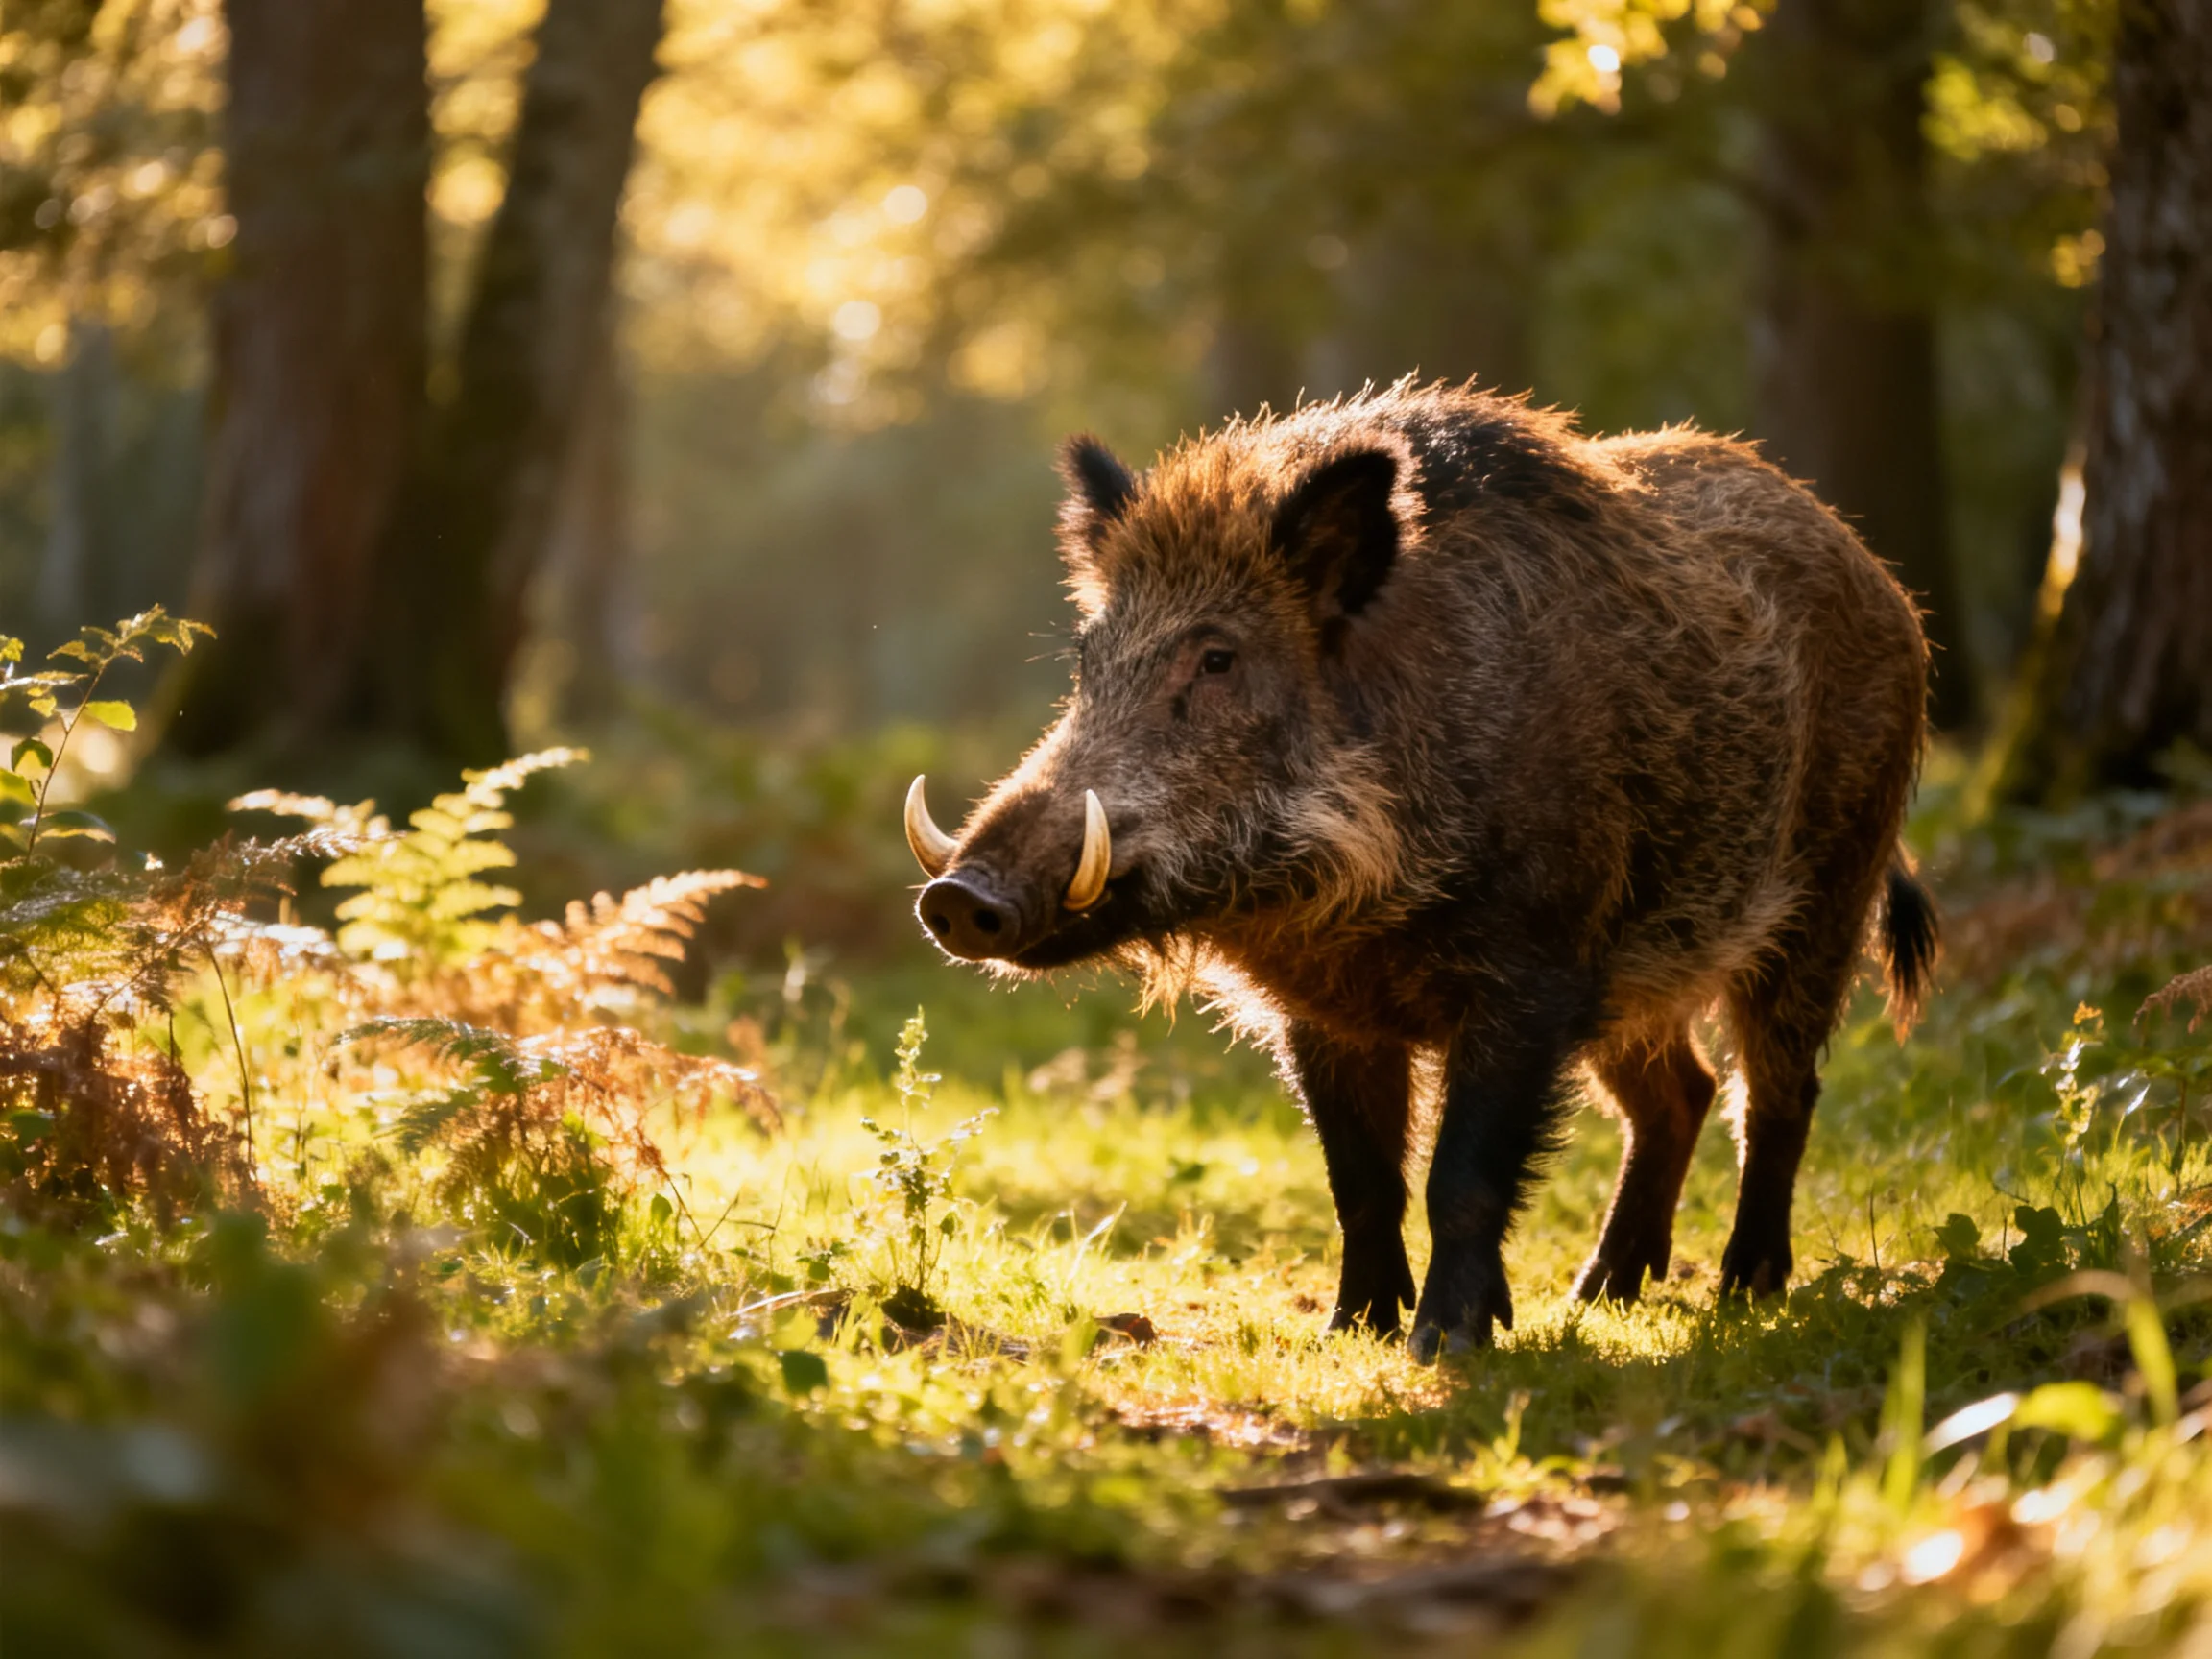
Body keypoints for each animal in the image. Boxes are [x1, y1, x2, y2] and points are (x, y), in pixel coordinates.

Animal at [903, 379, 1936, 1360]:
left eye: (1218, 658)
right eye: (1087, 662)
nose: (956, 897)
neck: (1354, 902)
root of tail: (1886, 583)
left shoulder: (1532, 972)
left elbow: (1462, 1176)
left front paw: (1448, 1345)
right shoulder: (1327, 1010)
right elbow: (1359, 1178)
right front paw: (1351, 1330)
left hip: (1828, 893)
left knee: (1777, 1092)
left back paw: (1743, 1291)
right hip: (1640, 974)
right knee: (1682, 1092)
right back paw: (1601, 1293)